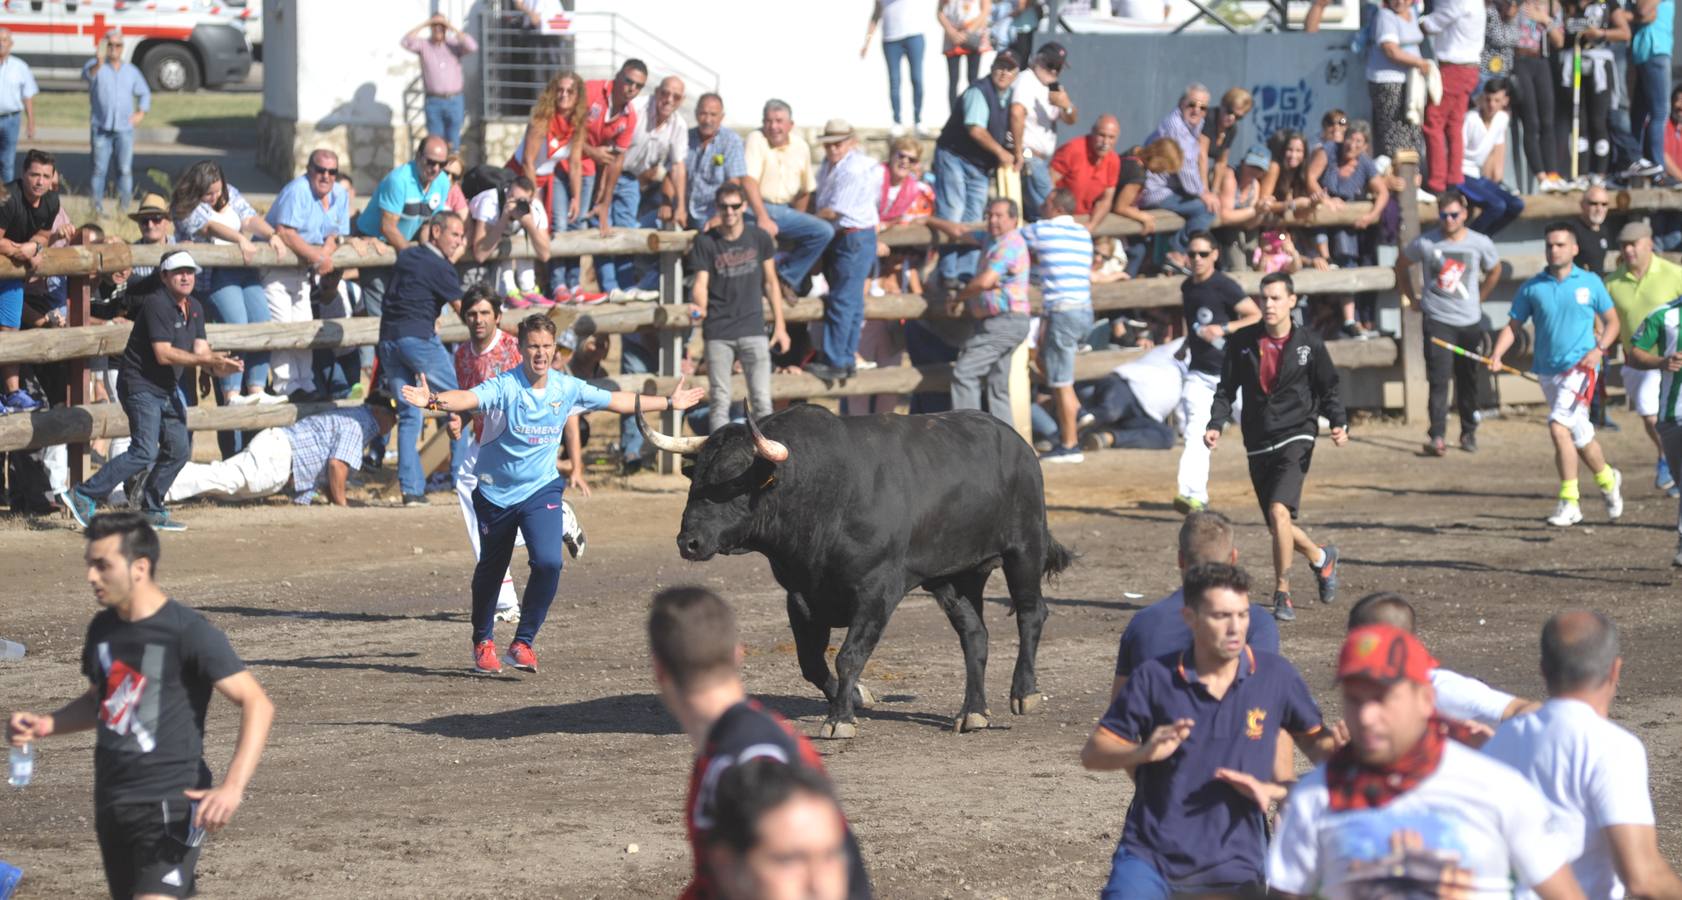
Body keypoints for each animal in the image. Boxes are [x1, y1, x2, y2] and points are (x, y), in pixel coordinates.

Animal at [635, 403, 1069, 740]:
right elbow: (812, 663)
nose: (688, 542)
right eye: (696, 479)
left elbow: (849, 655)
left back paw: (1023, 692)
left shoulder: (877, 591)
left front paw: (840, 719)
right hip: (956, 578)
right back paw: (973, 713)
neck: (823, 495)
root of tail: (1017, 442)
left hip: (1024, 548)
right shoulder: (800, 596)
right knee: (975, 636)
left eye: (731, 482)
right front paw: (858, 697)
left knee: (1031, 613)